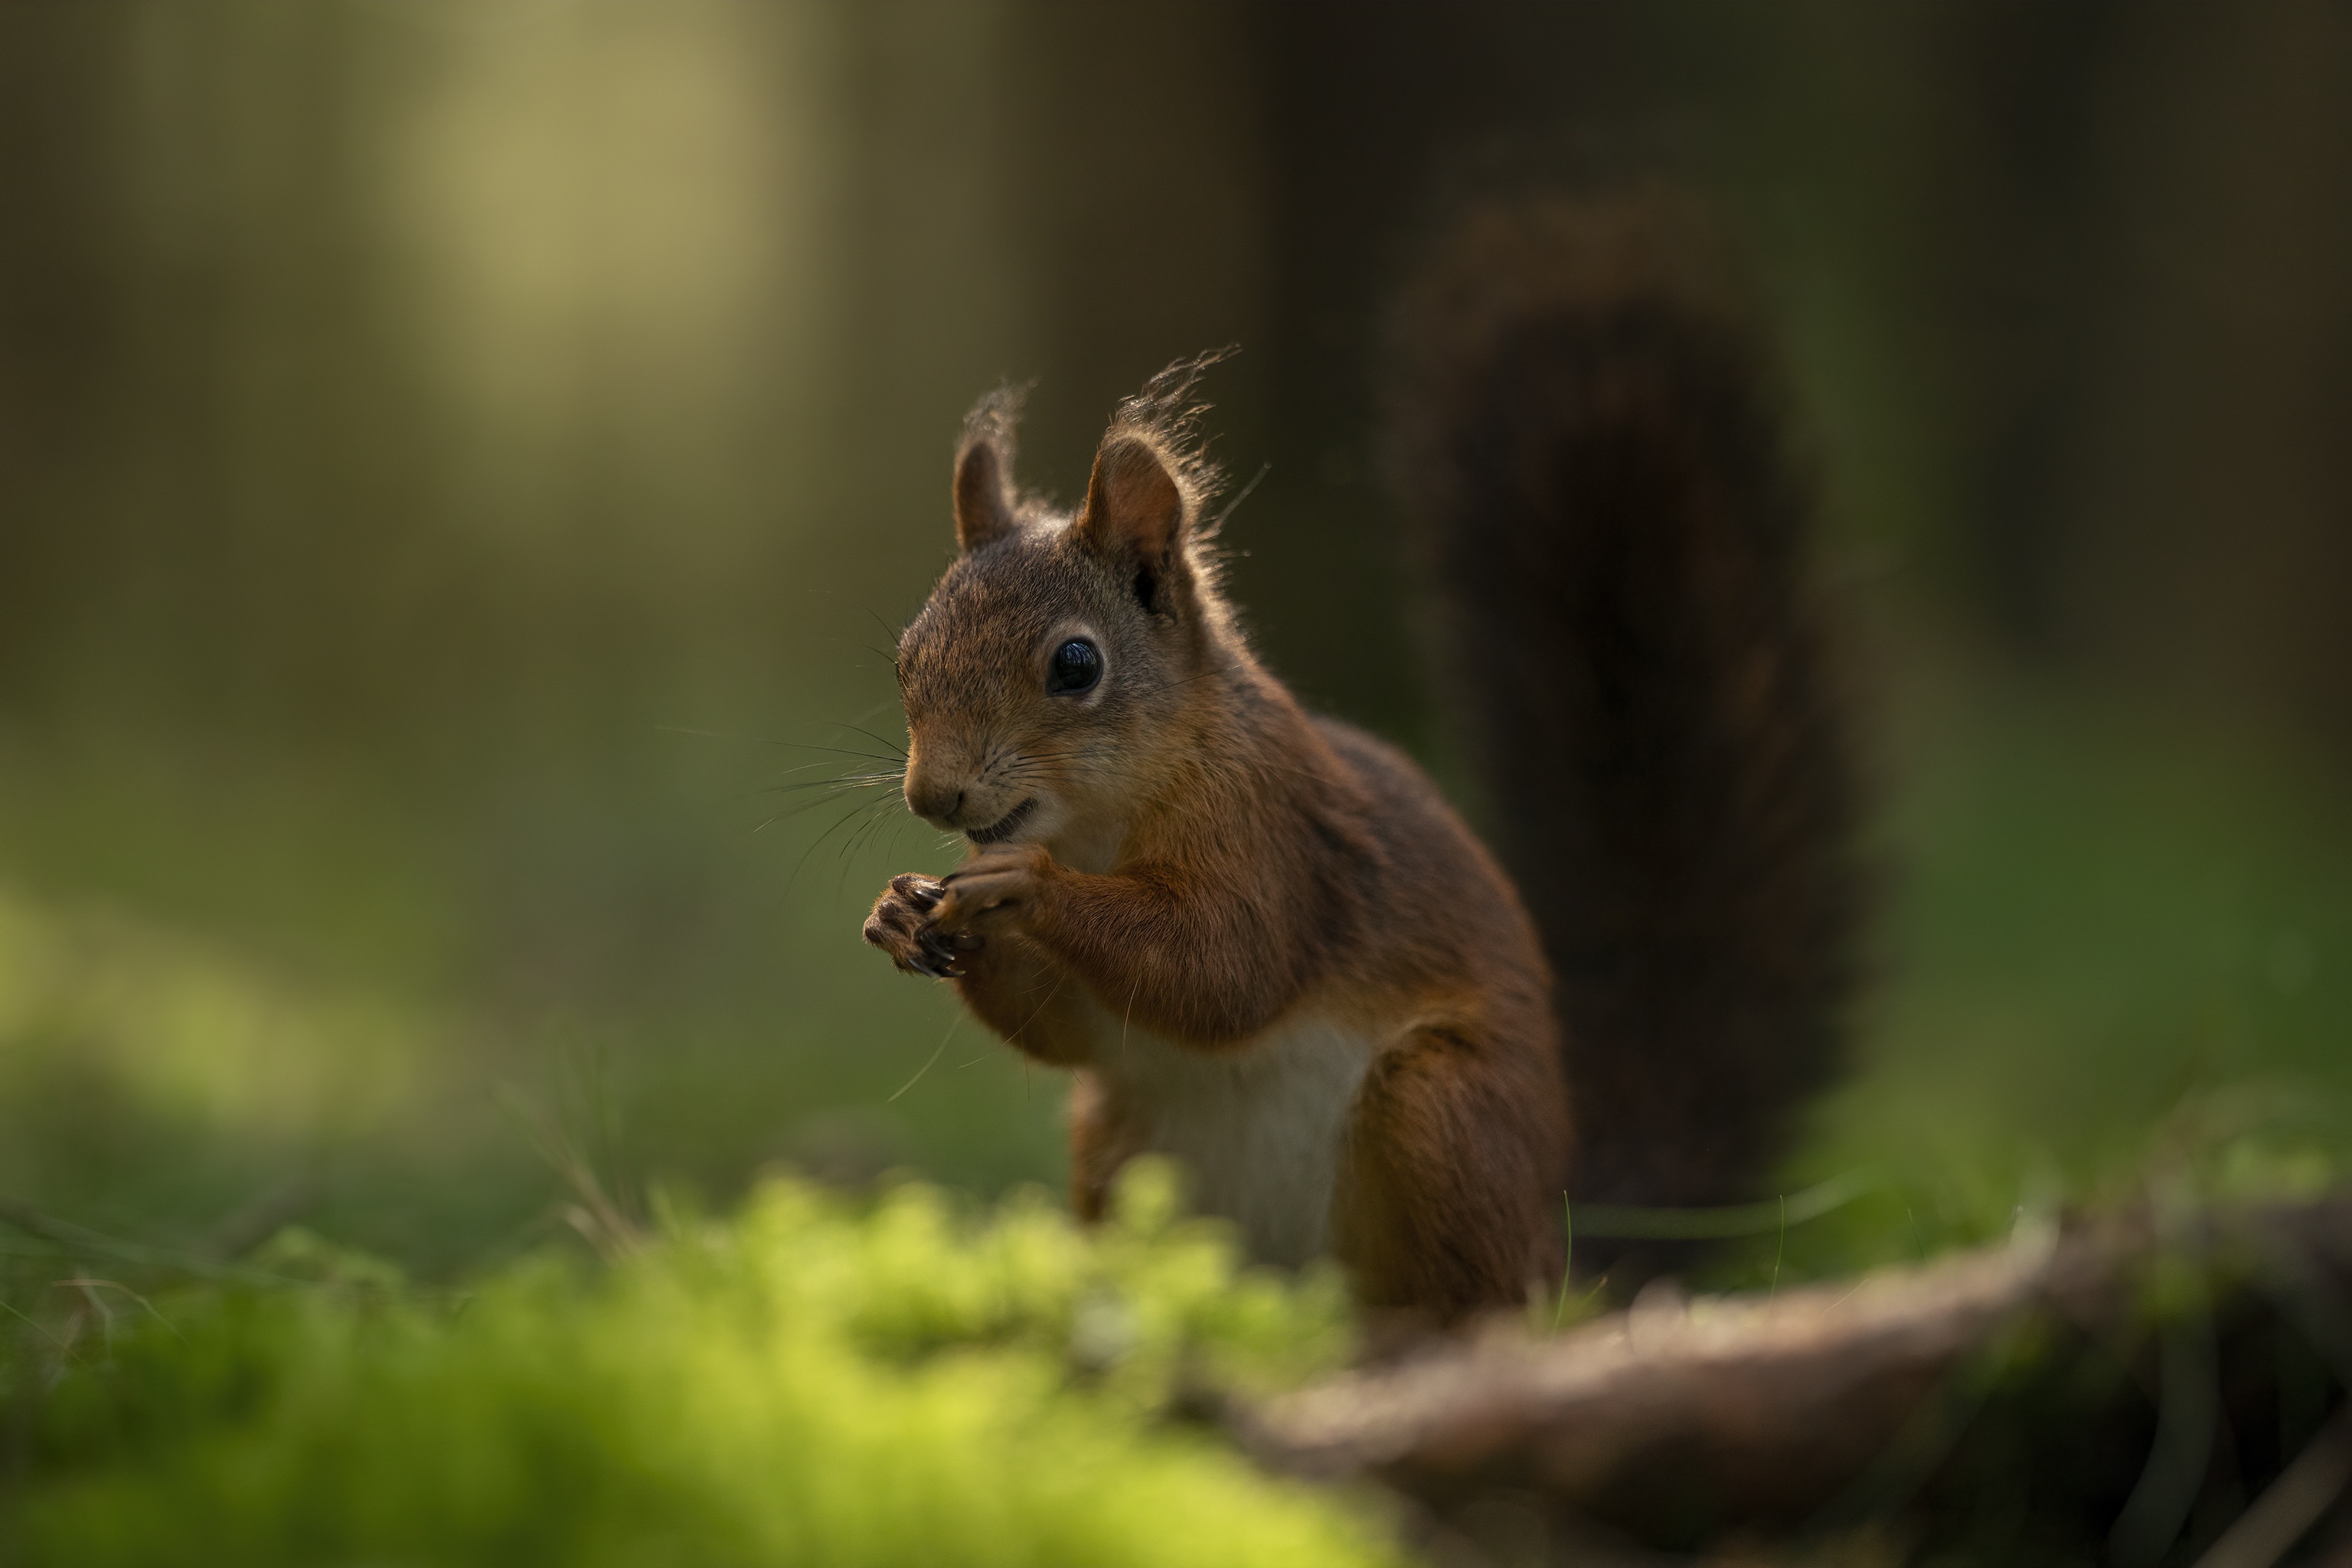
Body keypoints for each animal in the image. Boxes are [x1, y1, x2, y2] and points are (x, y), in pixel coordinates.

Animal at [856, 199, 1863, 1325]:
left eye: (1077, 664)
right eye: (907, 654)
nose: (932, 795)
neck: (1100, 825)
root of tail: (1560, 1246)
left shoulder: (1279, 830)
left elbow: (1225, 964)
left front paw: (1023, 886)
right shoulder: (1101, 1028)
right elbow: (1067, 1030)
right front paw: (900, 913)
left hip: (1440, 1110)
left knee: (1478, 1297)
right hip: (1120, 1147)